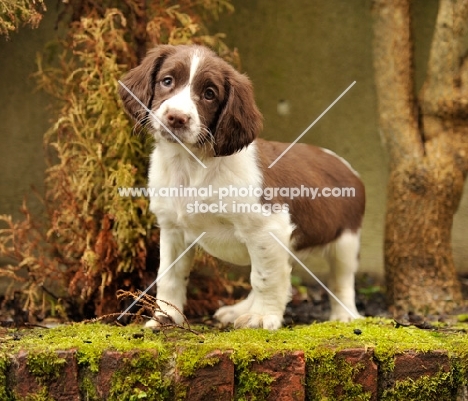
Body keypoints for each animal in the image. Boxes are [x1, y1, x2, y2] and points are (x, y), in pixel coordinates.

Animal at [118, 45, 366, 330]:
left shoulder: (267, 226)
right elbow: (170, 276)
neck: (192, 165)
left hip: (345, 240)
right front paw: (166, 318)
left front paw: (262, 317)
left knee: (341, 280)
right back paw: (240, 310)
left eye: (209, 94)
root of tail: (347, 166)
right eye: (167, 81)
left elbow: (264, 278)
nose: (177, 118)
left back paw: (344, 315)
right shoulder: (173, 230)